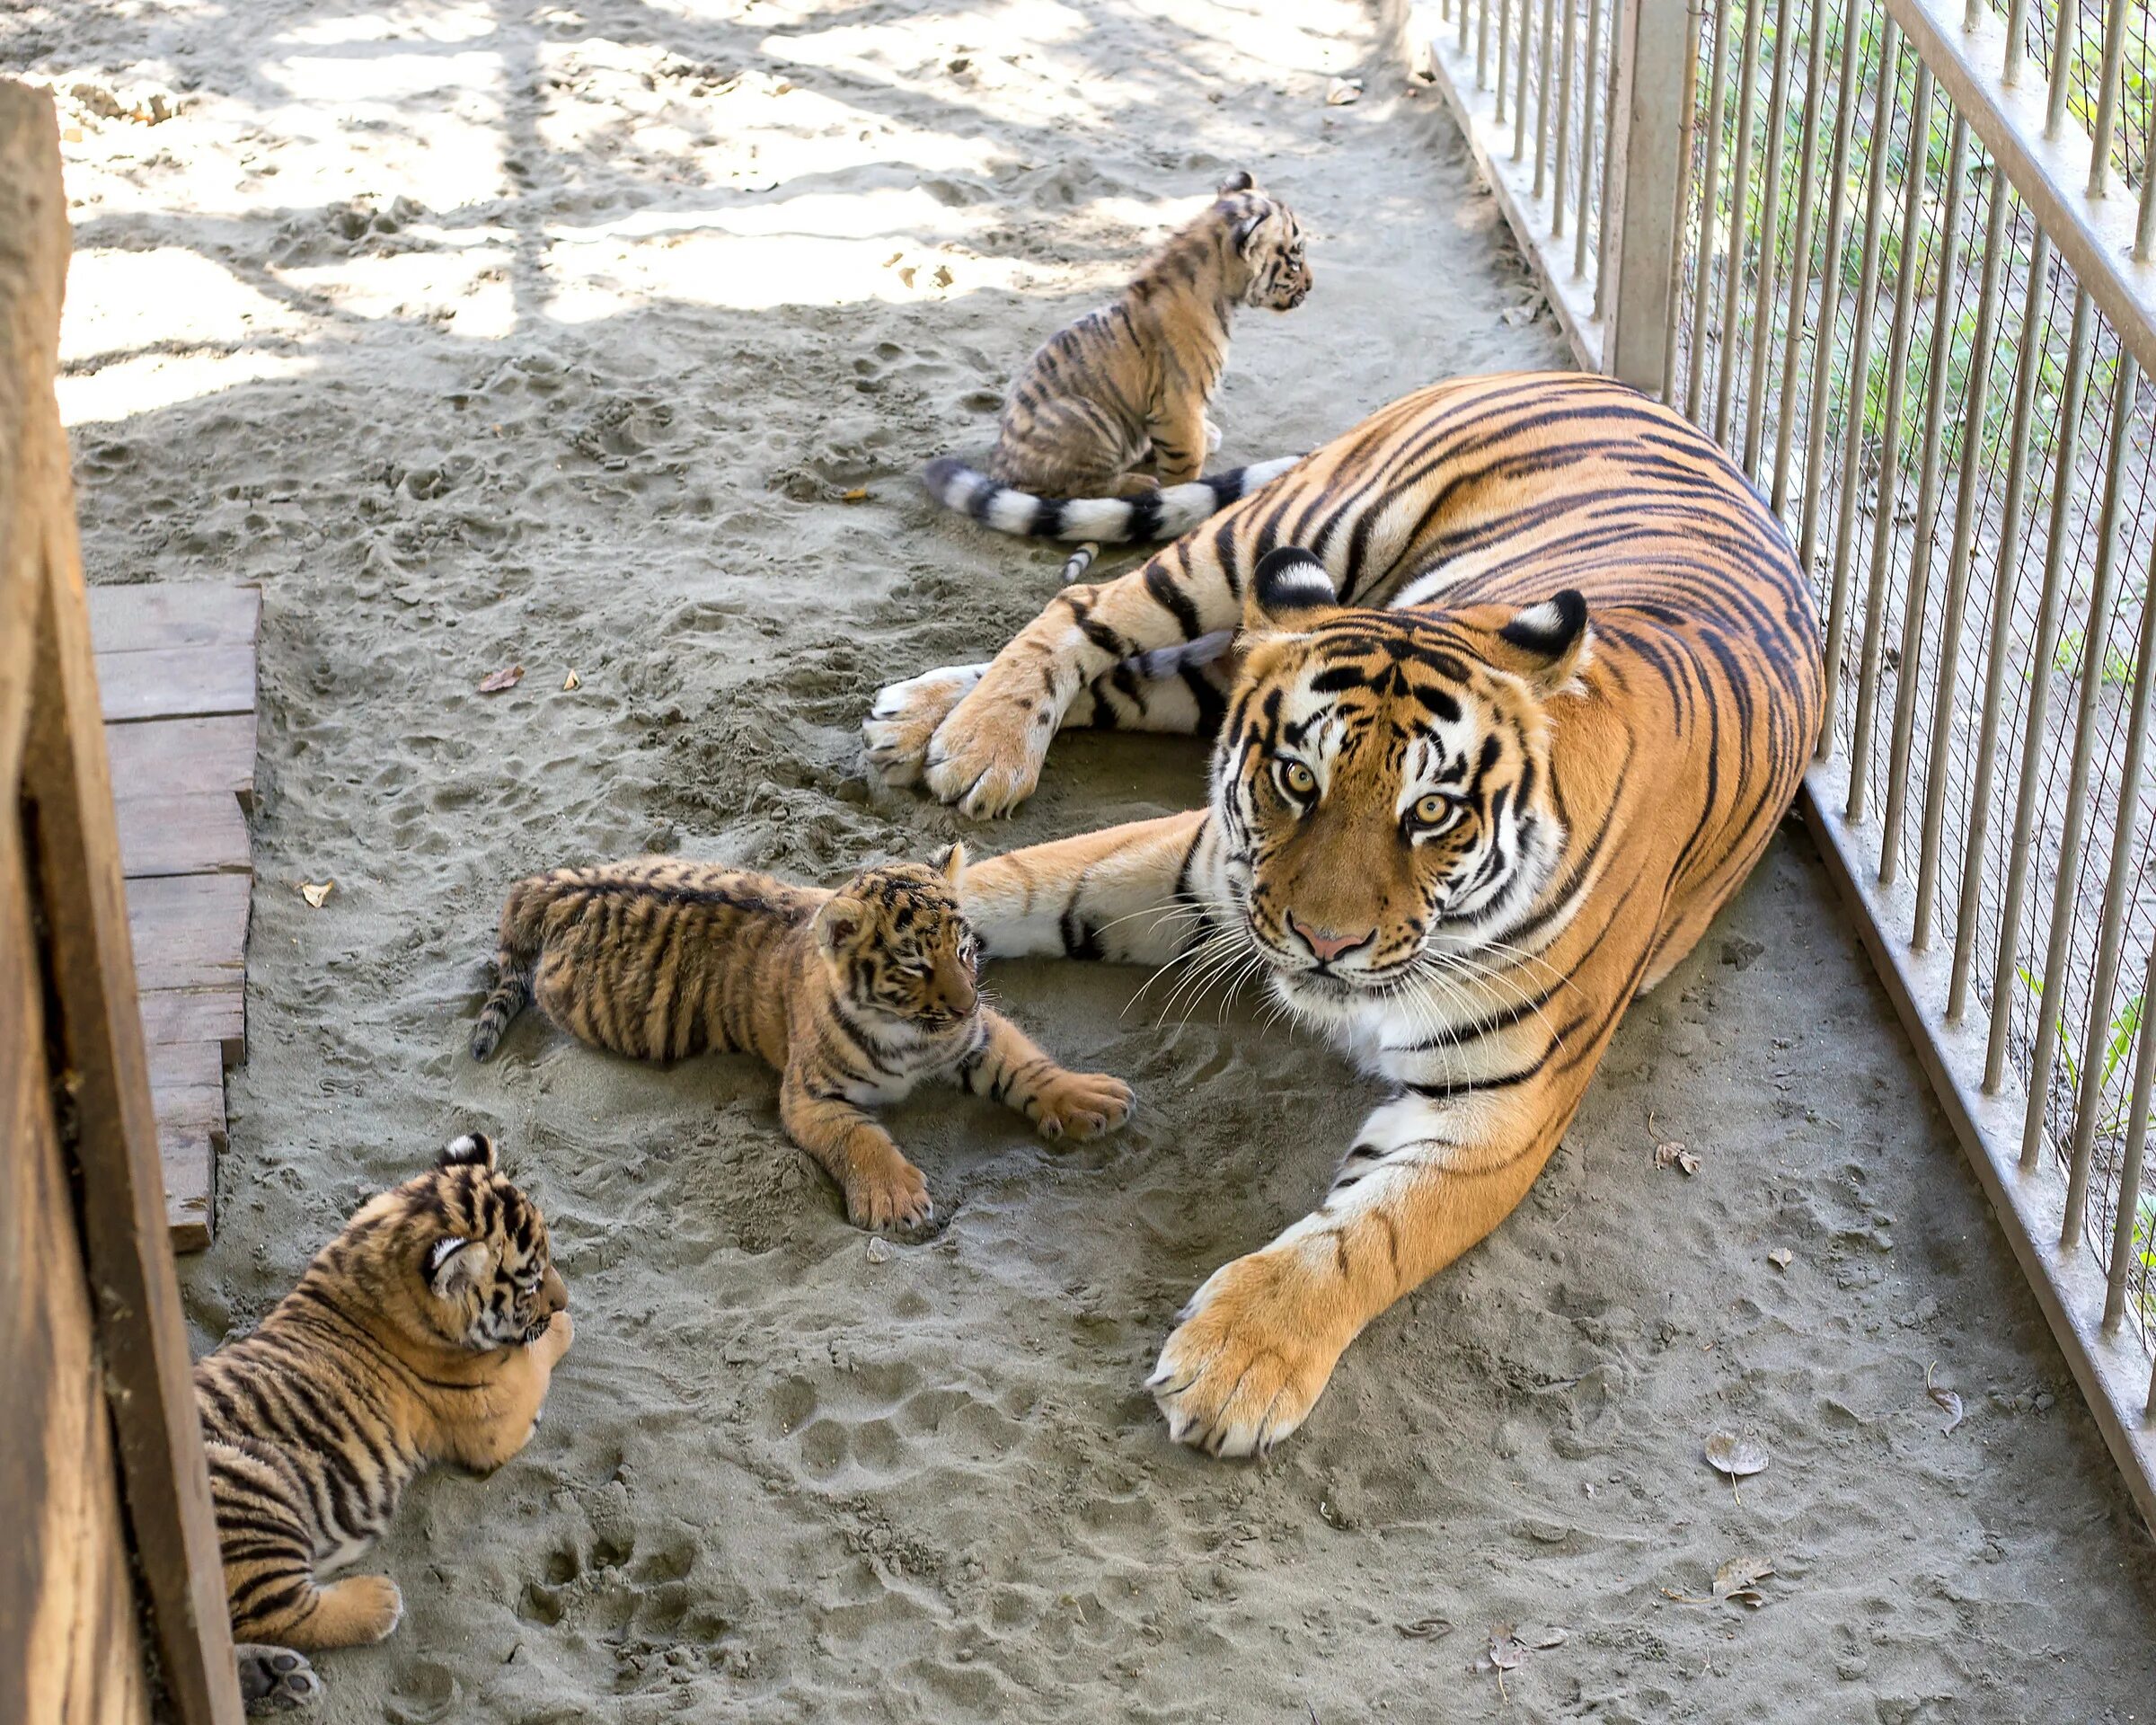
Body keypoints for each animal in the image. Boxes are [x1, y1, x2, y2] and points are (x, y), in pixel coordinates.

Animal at [858, 370, 1819, 1448]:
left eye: (1432, 811)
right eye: (1296, 777)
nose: (1327, 942)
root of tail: (1593, 377)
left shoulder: (1497, 1109)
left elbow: (1369, 1236)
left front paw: (1234, 1365)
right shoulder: (1206, 864)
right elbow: (1023, 880)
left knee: (1142, 670)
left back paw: (922, 720)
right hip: (1283, 536)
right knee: (1085, 606)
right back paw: (969, 735)